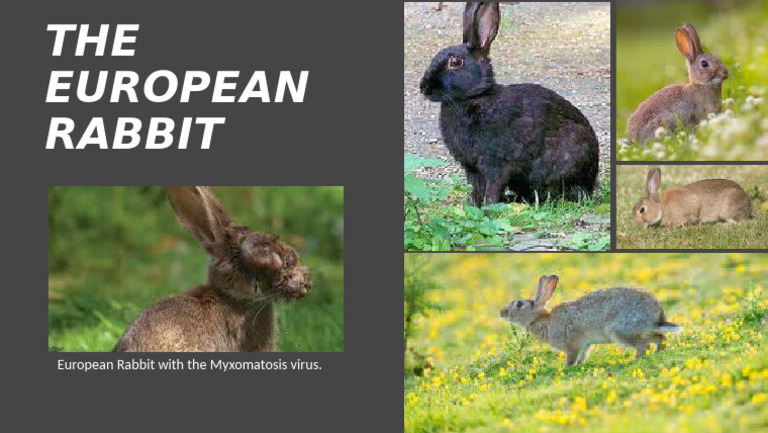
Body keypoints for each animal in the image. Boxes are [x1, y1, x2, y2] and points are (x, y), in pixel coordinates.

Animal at [419, 2, 599, 206]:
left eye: (455, 62)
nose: (423, 87)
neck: (474, 97)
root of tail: (591, 180)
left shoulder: (497, 163)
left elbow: (492, 188)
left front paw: (488, 208)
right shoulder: (472, 169)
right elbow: (475, 189)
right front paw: (472, 206)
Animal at [500, 275, 682, 366]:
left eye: (519, 304)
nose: (502, 312)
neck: (544, 320)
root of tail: (657, 315)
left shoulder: (572, 343)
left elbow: (572, 357)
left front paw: (568, 368)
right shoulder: (585, 344)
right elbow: (583, 355)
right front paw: (579, 365)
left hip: (620, 331)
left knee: (643, 345)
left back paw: (635, 360)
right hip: (643, 330)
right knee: (660, 338)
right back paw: (658, 353)